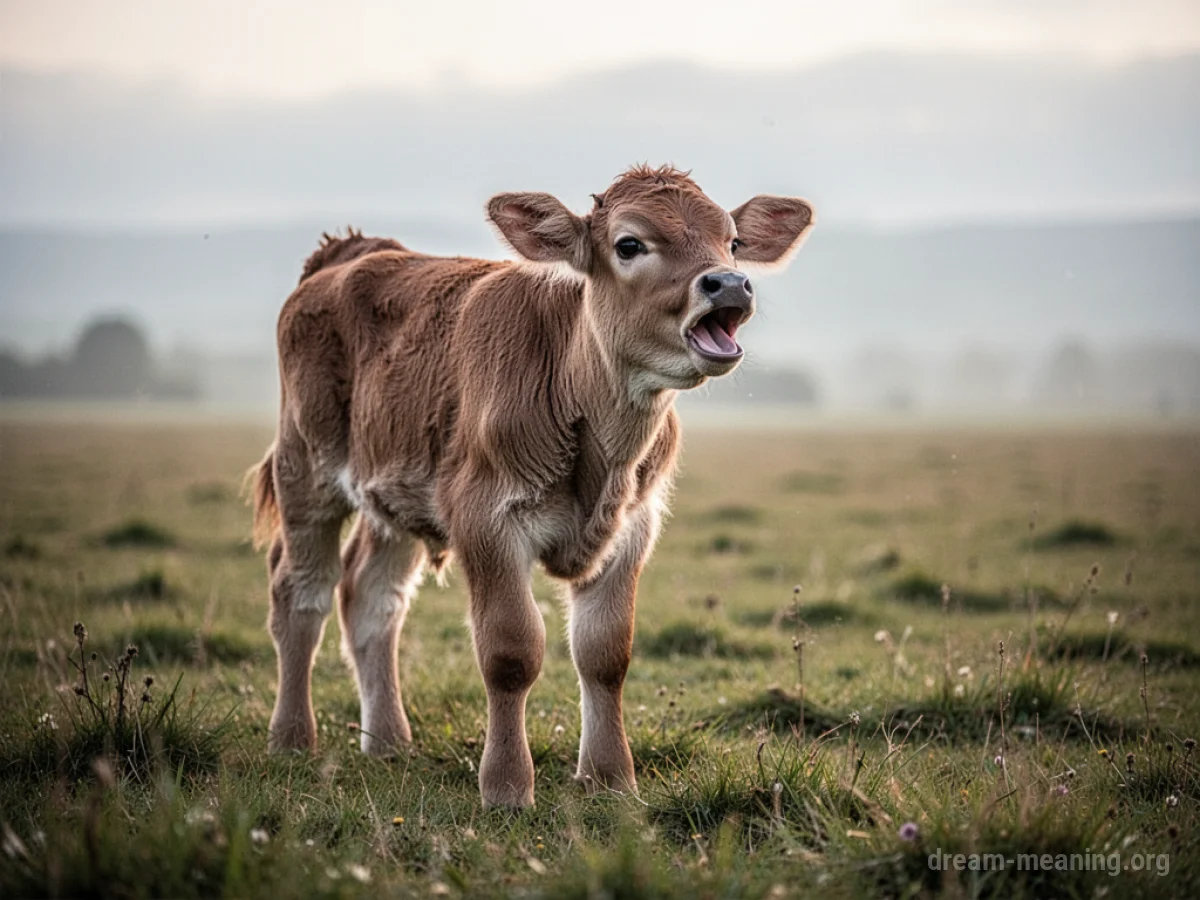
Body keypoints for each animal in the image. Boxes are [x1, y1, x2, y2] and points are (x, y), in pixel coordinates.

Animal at [250, 164, 813, 808]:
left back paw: (388, 740)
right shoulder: (485, 517)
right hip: (306, 469)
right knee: (301, 594)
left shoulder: (634, 526)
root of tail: (355, 250)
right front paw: (506, 786)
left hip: (392, 491)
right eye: (629, 244)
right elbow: (510, 652)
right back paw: (292, 738)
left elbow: (605, 652)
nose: (730, 285)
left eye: (733, 242)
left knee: (369, 597)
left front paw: (609, 777)